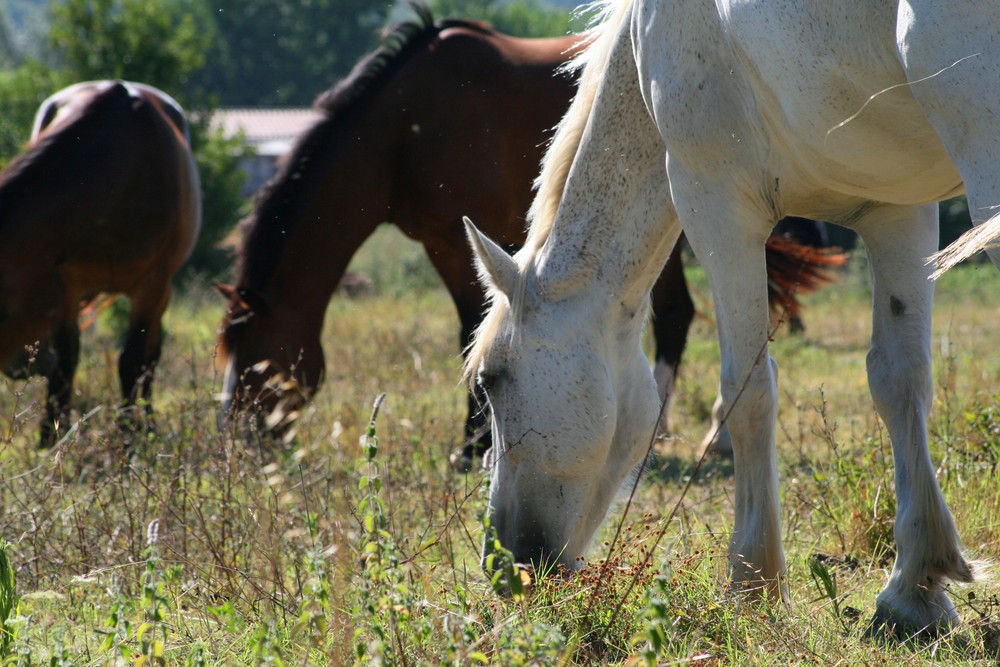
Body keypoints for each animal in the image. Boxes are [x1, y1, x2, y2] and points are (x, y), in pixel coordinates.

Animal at [0, 81, 203, 446]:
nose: (25, 365)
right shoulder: (66, 284)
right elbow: (67, 361)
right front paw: (51, 438)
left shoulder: (152, 284)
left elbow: (133, 361)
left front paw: (131, 438)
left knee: (151, 358)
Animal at [219, 3, 844, 464]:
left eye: (253, 357)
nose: (241, 440)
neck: (404, 126)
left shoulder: (456, 241)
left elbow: (470, 329)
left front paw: (472, 447)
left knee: (679, 317)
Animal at [462, 0, 1000, 640]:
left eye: (492, 380)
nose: (504, 566)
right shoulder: (894, 206)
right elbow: (898, 380)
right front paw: (915, 590)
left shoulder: (715, 202)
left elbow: (748, 393)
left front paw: (753, 584)